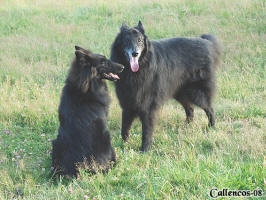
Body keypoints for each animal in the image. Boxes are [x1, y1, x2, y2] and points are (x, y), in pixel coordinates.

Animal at [110, 20, 222, 152]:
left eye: (139, 40)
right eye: (127, 40)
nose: (135, 53)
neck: (137, 70)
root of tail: (206, 43)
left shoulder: (148, 107)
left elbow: (146, 130)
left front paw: (144, 149)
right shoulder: (127, 104)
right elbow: (125, 127)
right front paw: (124, 145)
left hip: (196, 93)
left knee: (209, 109)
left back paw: (211, 127)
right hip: (180, 93)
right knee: (190, 109)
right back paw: (186, 126)